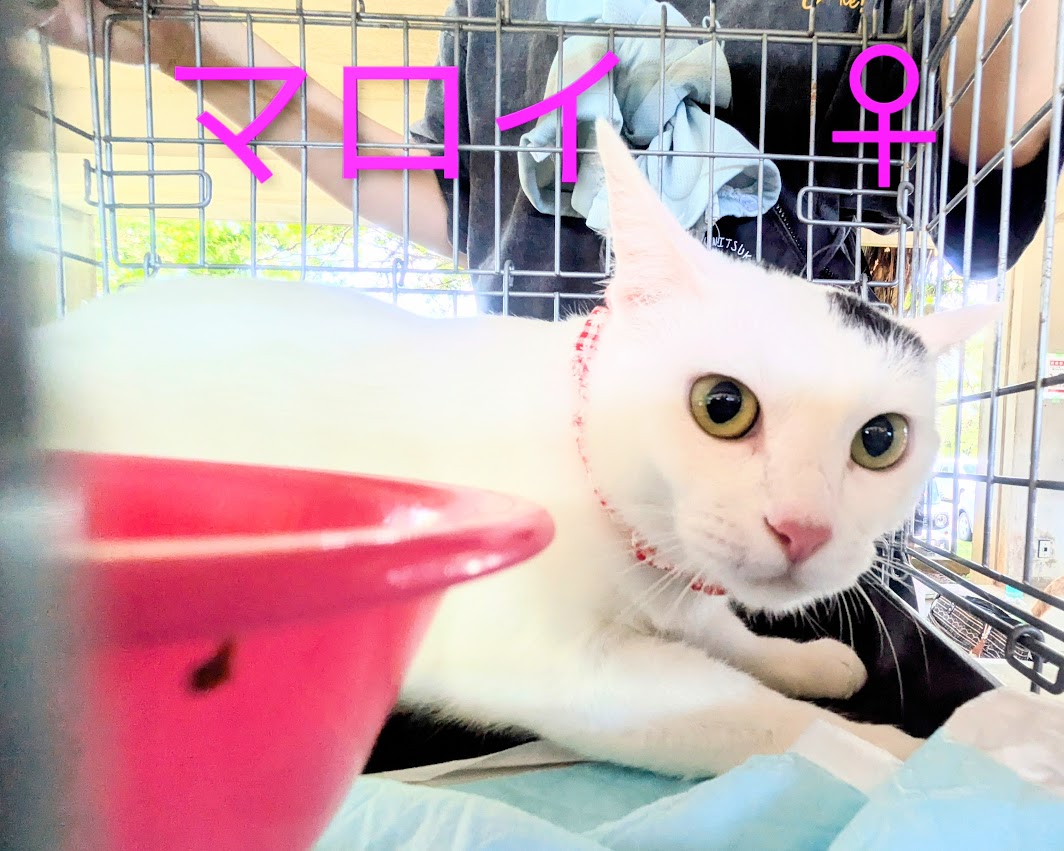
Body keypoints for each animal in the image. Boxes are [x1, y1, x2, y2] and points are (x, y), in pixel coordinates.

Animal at [30, 120, 999, 778]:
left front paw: (806, 658)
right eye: (721, 406)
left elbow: (725, 633)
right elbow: (759, 719)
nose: (803, 529)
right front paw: (887, 751)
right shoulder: (549, 660)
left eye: (881, 440)